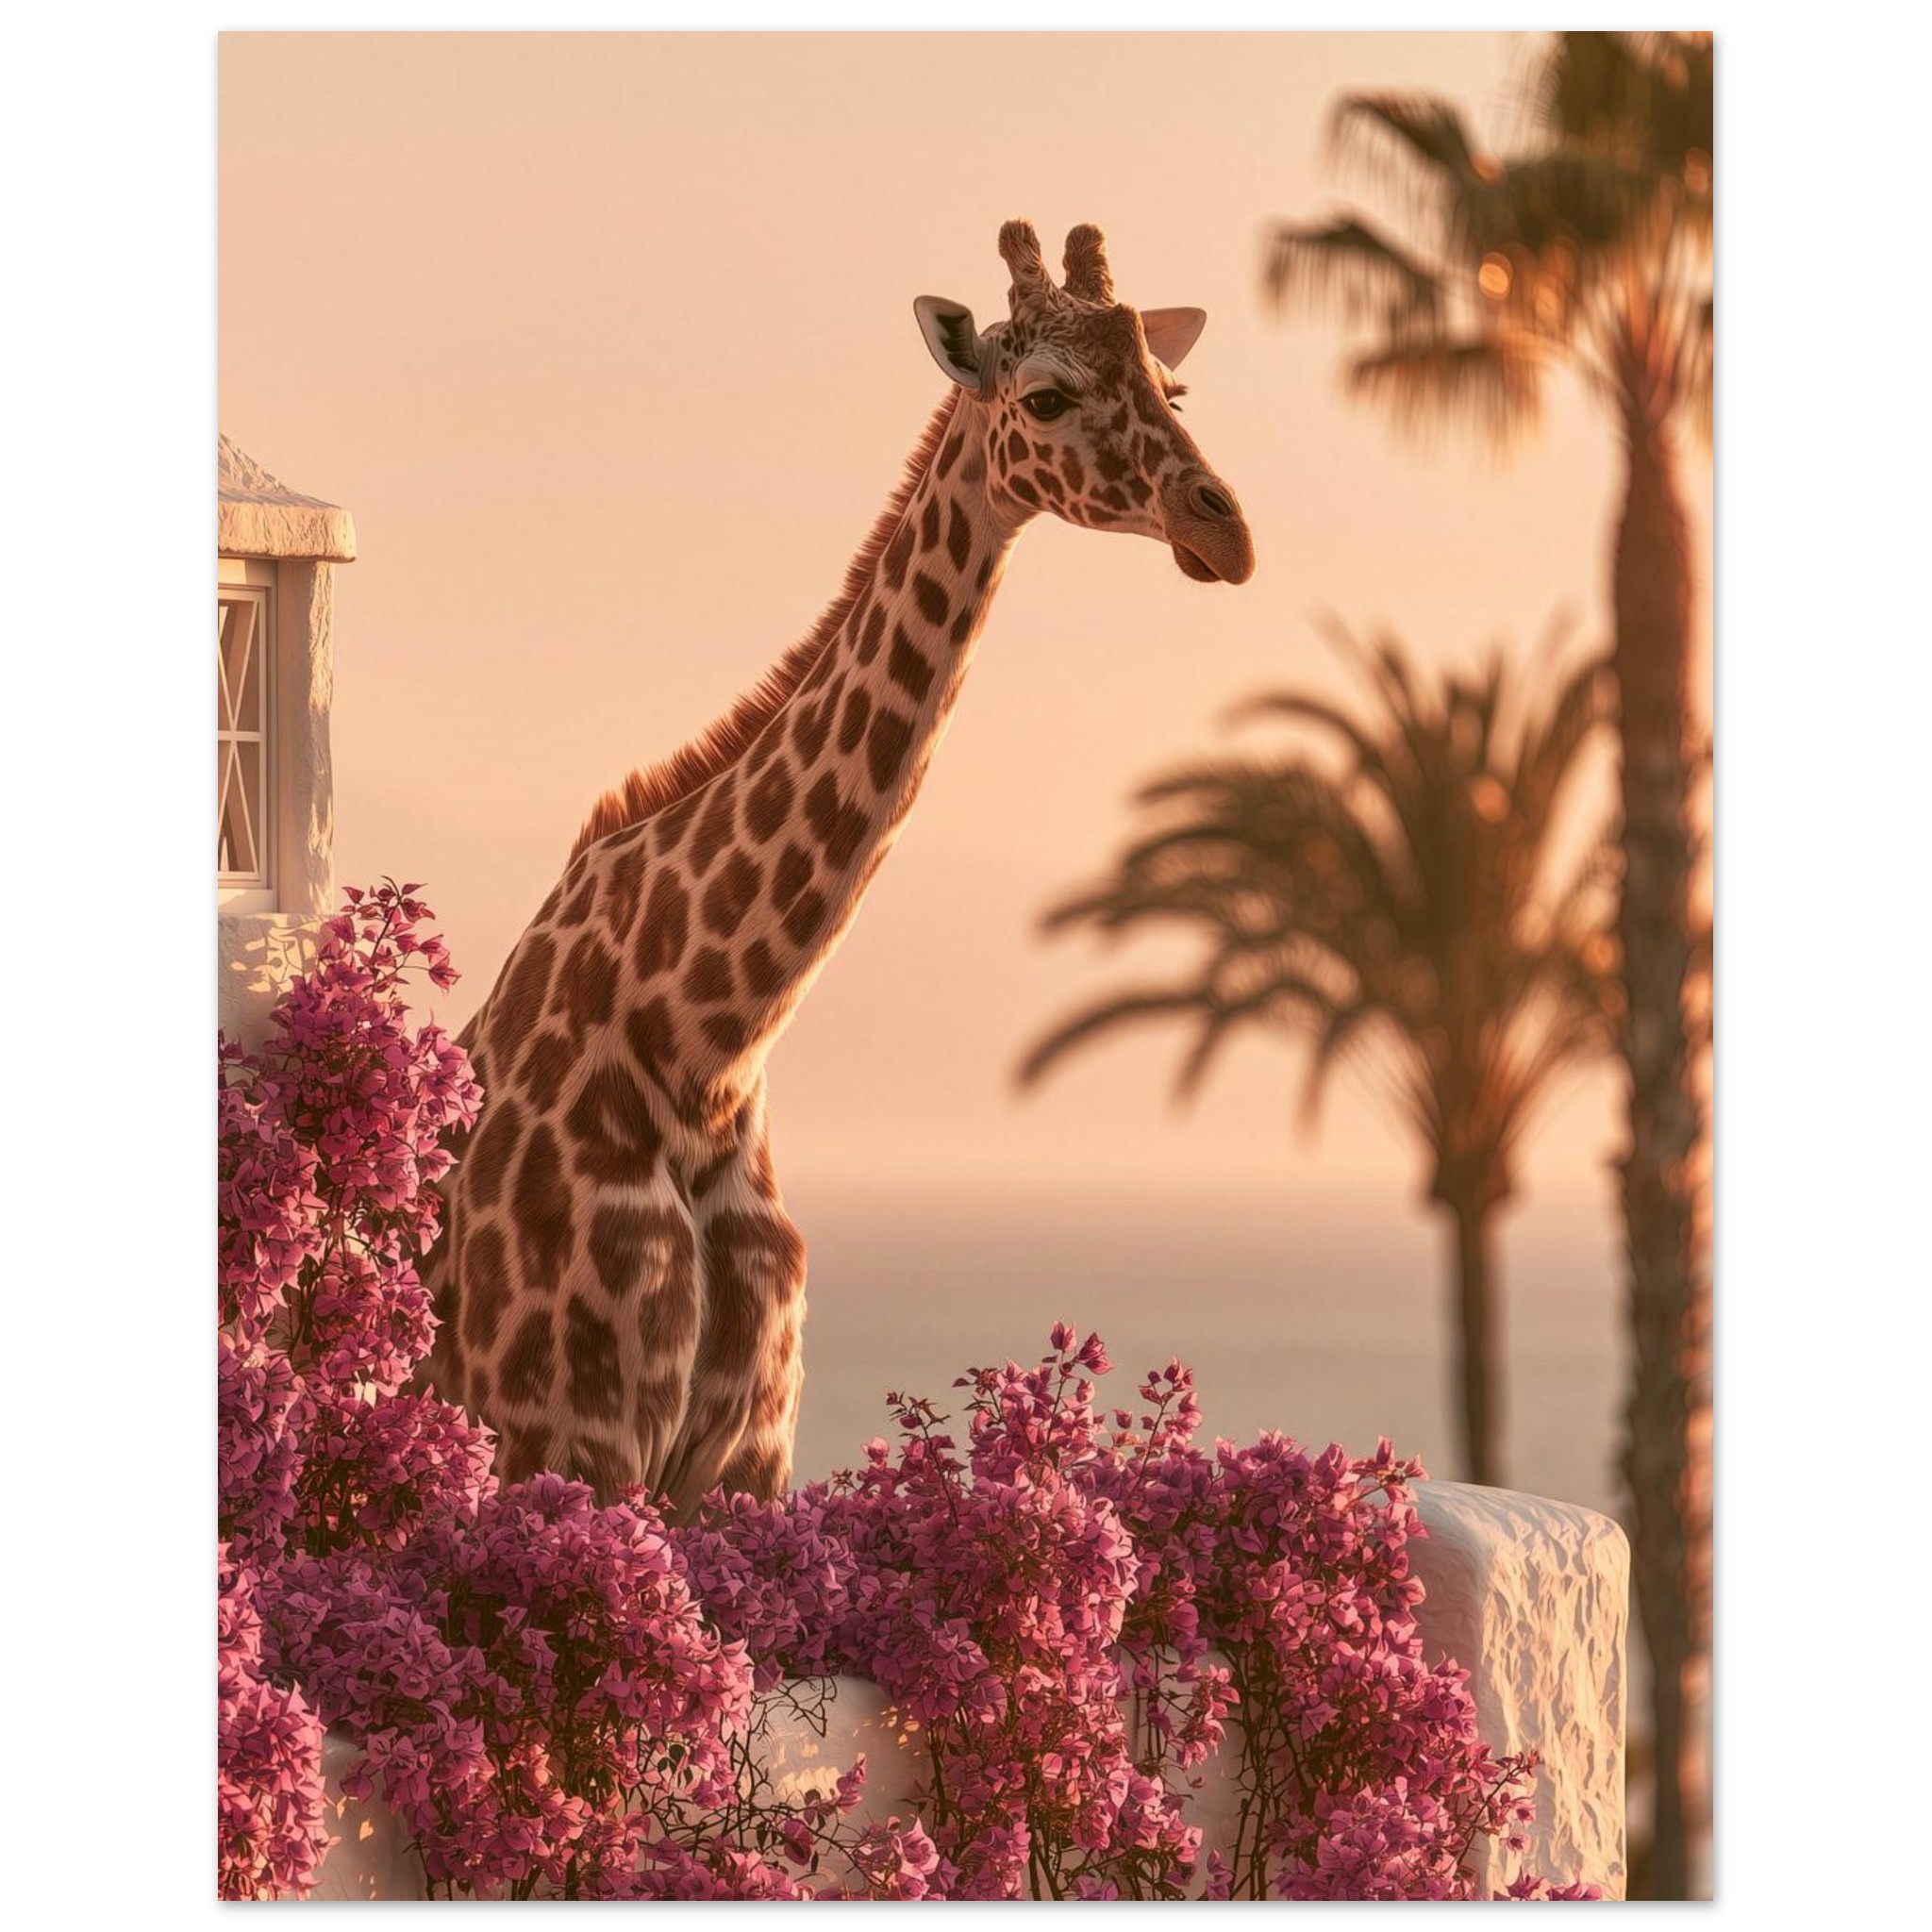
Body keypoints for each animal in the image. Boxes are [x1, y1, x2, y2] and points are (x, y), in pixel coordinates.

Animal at [418, 220, 1255, 1514]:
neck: (700, 1047)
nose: (1225, 532)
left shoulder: (743, 1456)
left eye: (1171, 388)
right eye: (1046, 395)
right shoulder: (563, 1435)